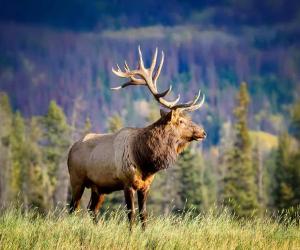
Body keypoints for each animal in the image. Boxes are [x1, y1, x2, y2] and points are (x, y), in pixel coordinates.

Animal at [67, 46, 206, 229]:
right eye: (181, 121)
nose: (203, 132)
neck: (145, 161)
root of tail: (70, 150)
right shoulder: (127, 183)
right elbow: (131, 214)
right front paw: (131, 233)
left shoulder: (145, 186)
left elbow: (143, 214)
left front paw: (144, 232)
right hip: (76, 180)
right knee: (72, 208)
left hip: (99, 187)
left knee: (92, 209)